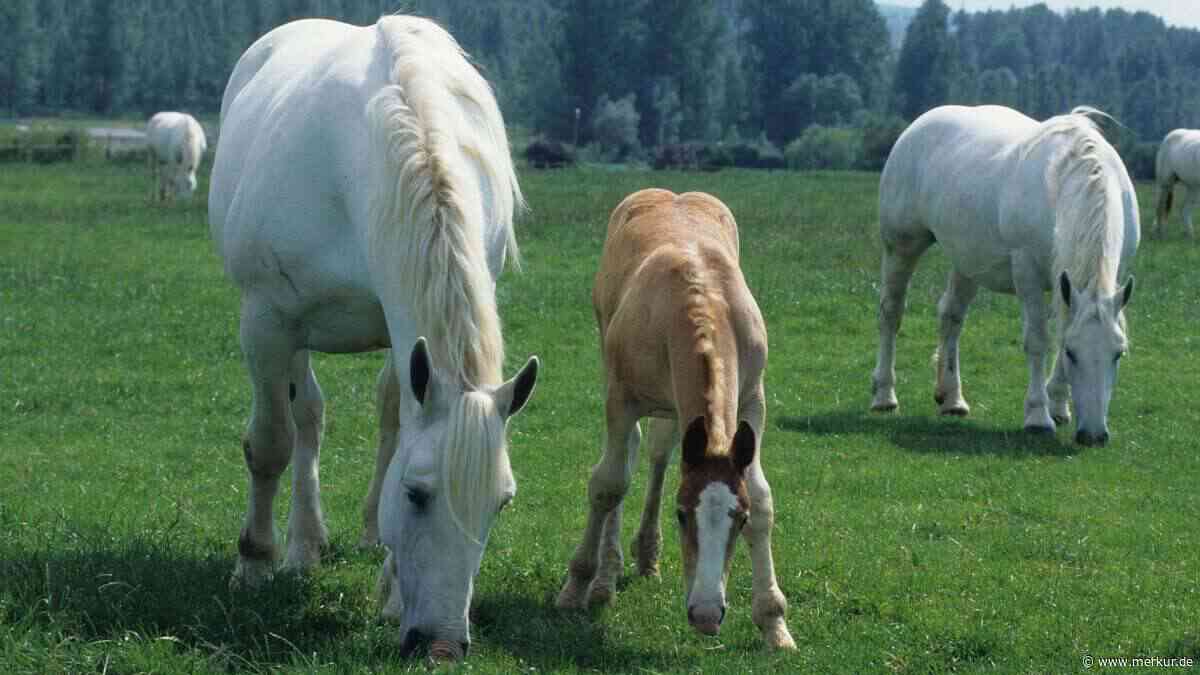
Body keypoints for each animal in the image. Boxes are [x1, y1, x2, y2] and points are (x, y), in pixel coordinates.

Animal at [208, 16, 538, 662]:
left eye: (502, 502)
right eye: (416, 495)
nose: (442, 646)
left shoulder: (403, 328)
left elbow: (393, 426)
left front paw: (390, 591)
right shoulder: (268, 321)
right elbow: (271, 443)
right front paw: (254, 563)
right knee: (305, 417)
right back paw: (301, 545)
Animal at [556, 189, 795, 650]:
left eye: (738, 519)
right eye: (682, 514)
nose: (706, 615)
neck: (700, 300)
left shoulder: (753, 401)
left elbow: (762, 497)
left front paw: (774, 623)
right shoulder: (621, 397)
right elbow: (609, 484)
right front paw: (577, 587)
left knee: (659, 453)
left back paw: (647, 554)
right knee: (627, 455)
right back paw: (606, 577)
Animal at [872, 105, 1138, 447]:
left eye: (1118, 353)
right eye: (1072, 353)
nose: (1093, 435)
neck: (1069, 180)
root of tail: (917, 126)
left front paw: (1058, 406)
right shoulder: (1027, 274)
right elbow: (1037, 341)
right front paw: (1038, 416)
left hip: (967, 260)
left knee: (951, 316)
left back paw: (952, 398)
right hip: (901, 246)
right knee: (891, 313)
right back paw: (884, 396)